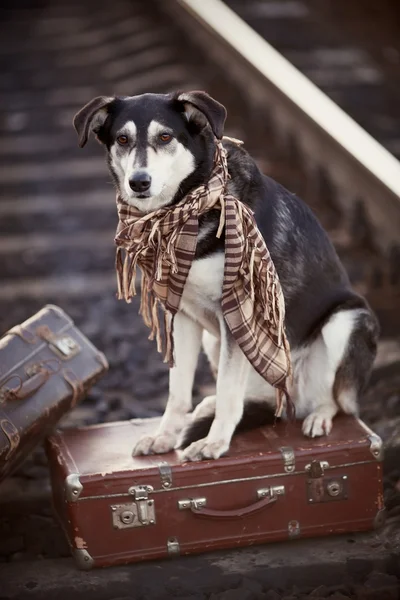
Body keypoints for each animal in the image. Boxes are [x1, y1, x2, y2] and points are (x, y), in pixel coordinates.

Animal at [74, 91, 378, 462]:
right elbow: (178, 391)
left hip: (346, 321)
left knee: (339, 401)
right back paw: (209, 406)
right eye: (122, 139)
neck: (185, 211)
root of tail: (290, 400)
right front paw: (164, 436)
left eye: (165, 137)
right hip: (214, 340)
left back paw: (318, 416)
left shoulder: (239, 315)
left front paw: (214, 442)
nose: (139, 182)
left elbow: (230, 390)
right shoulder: (182, 315)